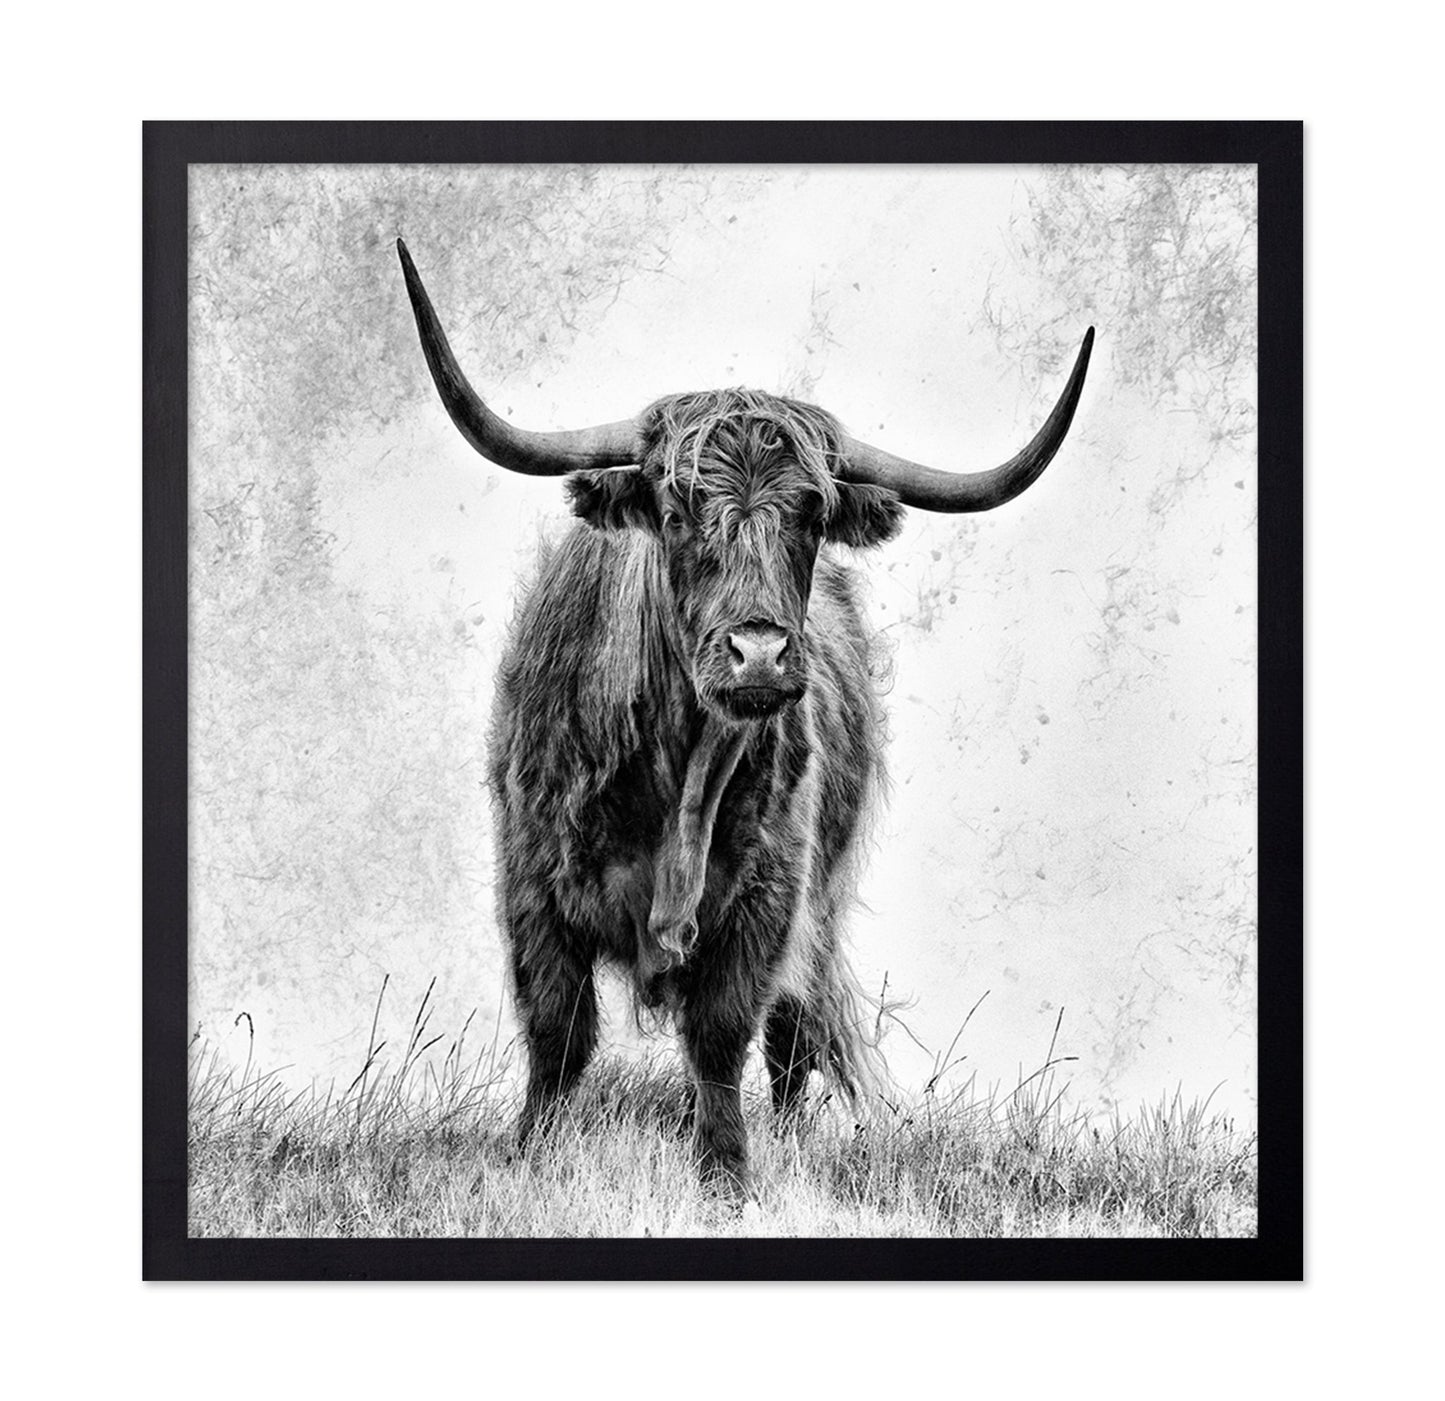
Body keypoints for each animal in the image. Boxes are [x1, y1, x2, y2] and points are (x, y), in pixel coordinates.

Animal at [396, 239, 1092, 1197]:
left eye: (812, 511)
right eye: (676, 507)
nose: (759, 654)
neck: (676, 783)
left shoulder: (770, 900)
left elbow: (724, 1036)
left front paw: (726, 1175)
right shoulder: (532, 887)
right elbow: (556, 1031)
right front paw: (532, 1154)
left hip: (820, 904)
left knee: (793, 1036)